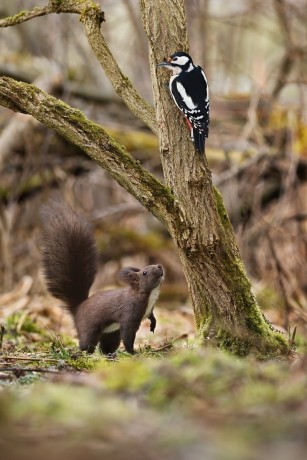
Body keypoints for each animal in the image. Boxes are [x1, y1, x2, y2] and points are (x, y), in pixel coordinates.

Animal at [42, 199, 166, 354]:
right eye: (145, 272)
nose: (160, 266)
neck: (150, 295)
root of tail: (77, 309)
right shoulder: (129, 314)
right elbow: (128, 335)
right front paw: (132, 352)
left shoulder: (149, 310)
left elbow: (151, 316)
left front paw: (153, 324)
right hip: (90, 329)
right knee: (86, 343)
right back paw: (86, 353)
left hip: (111, 334)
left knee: (106, 346)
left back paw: (108, 354)